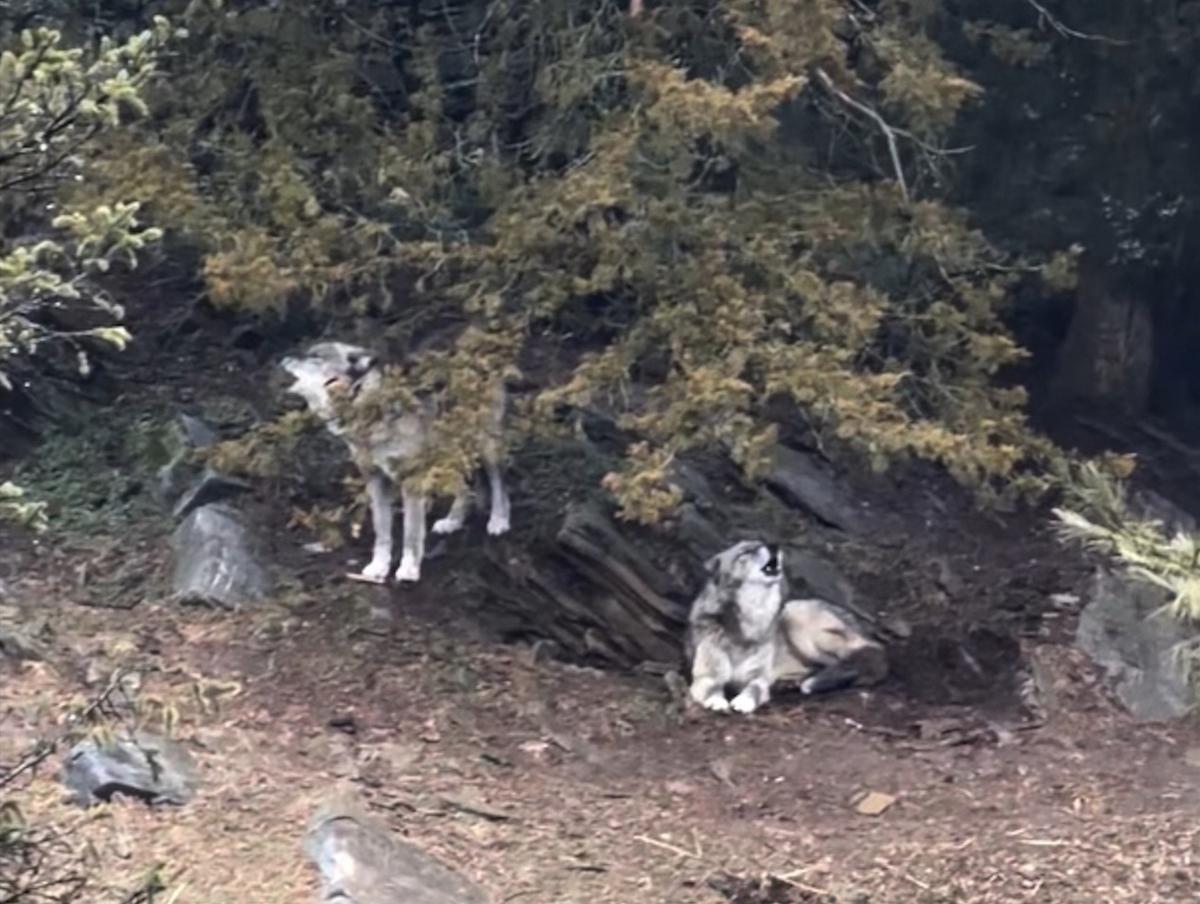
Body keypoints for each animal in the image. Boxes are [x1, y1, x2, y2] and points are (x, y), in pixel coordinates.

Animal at [279, 340, 510, 585]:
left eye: (316, 357)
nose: (283, 358)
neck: (366, 404)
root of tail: (477, 353)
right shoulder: (375, 480)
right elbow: (382, 532)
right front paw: (378, 567)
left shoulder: (412, 480)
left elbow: (410, 532)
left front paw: (408, 569)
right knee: (465, 487)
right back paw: (453, 520)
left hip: (486, 446)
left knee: (499, 484)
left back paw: (499, 521)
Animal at [685, 540, 887, 714]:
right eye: (746, 552)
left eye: (762, 543)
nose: (774, 546)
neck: (751, 622)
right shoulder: (706, 676)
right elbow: (712, 688)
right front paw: (717, 701)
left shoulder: (758, 678)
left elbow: (754, 689)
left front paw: (744, 702)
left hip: (797, 623)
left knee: (852, 662)